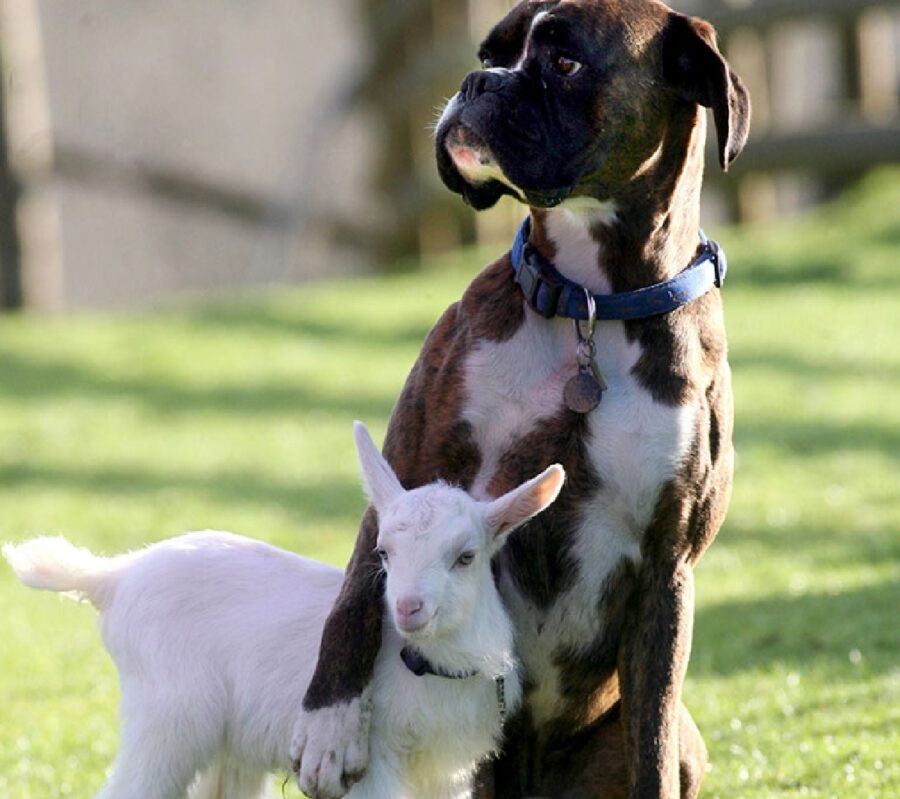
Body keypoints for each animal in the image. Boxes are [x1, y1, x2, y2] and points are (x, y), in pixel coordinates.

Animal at [292, 1, 748, 799]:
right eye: (490, 53)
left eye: (565, 63)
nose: (477, 82)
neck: (591, 305)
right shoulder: (408, 466)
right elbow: (354, 597)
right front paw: (331, 723)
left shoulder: (667, 567)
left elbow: (653, 737)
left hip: (682, 740)